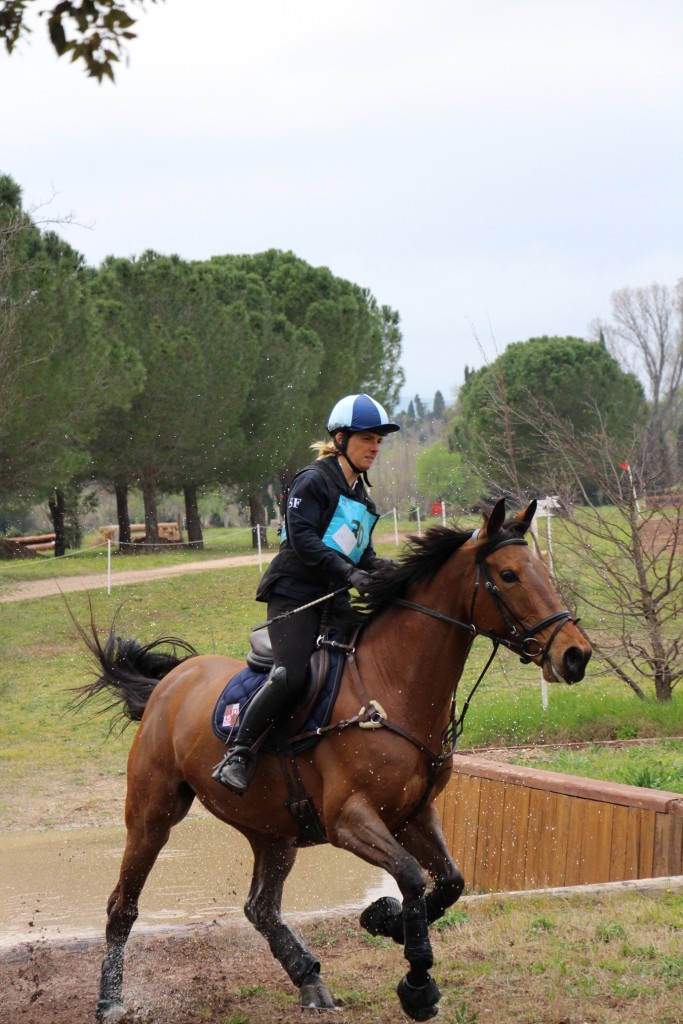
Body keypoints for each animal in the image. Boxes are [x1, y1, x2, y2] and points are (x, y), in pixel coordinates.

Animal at [78, 499, 593, 1019]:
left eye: (541, 569)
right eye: (508, 575)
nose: (576, 656)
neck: (393, 683)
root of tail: (171, 680)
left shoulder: (413, 814)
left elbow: (450, 881)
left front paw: (385, 920)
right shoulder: (350, 820)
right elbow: (411, 876)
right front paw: (417, 980)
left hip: (274, 830)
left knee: (260, 907)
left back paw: (308, 977)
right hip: (153, 815)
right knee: (123, 906)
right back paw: (110, 1000)